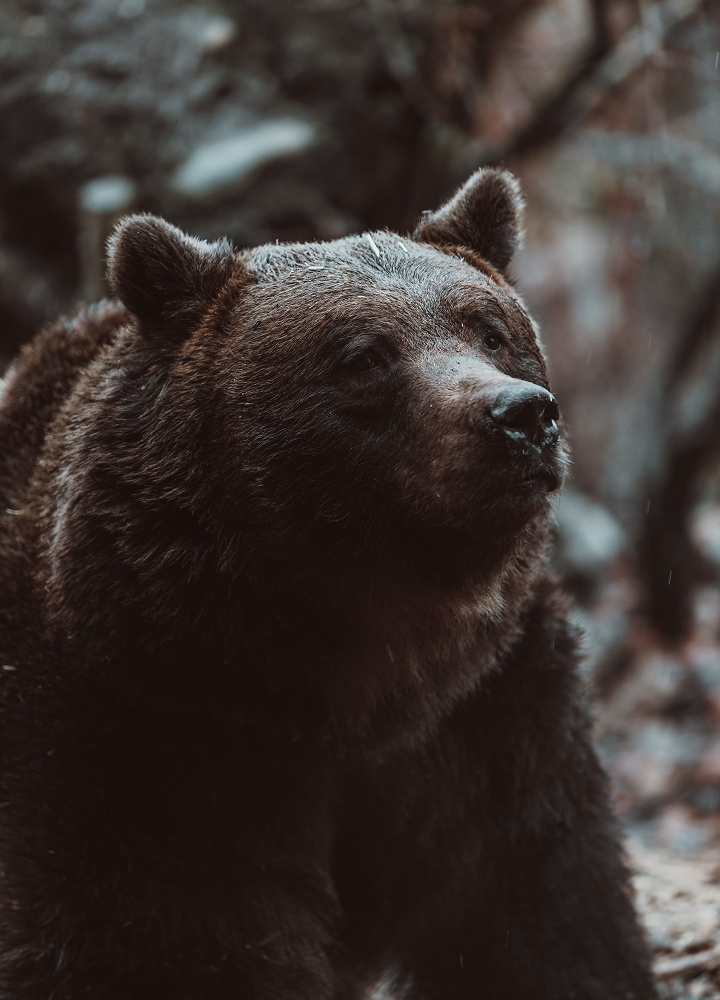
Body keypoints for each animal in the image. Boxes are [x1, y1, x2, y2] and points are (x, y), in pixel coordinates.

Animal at [0, 168, 657, 999]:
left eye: (491, 330)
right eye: (363, 357)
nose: (520, 415)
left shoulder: (491, 719)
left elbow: (541, 910)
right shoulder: (150, 732)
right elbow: (166, 937)